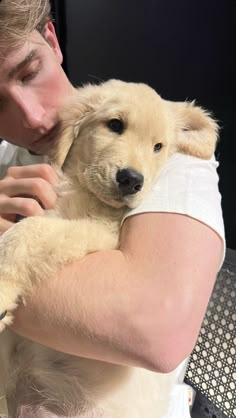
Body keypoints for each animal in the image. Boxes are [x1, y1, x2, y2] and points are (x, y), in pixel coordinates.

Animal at [0, 79, 218, 418]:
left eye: (158, 147)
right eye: (115, 125)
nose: (132, 180)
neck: (81, 188)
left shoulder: (102, 233)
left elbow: (30, 232)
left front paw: (2, 289)